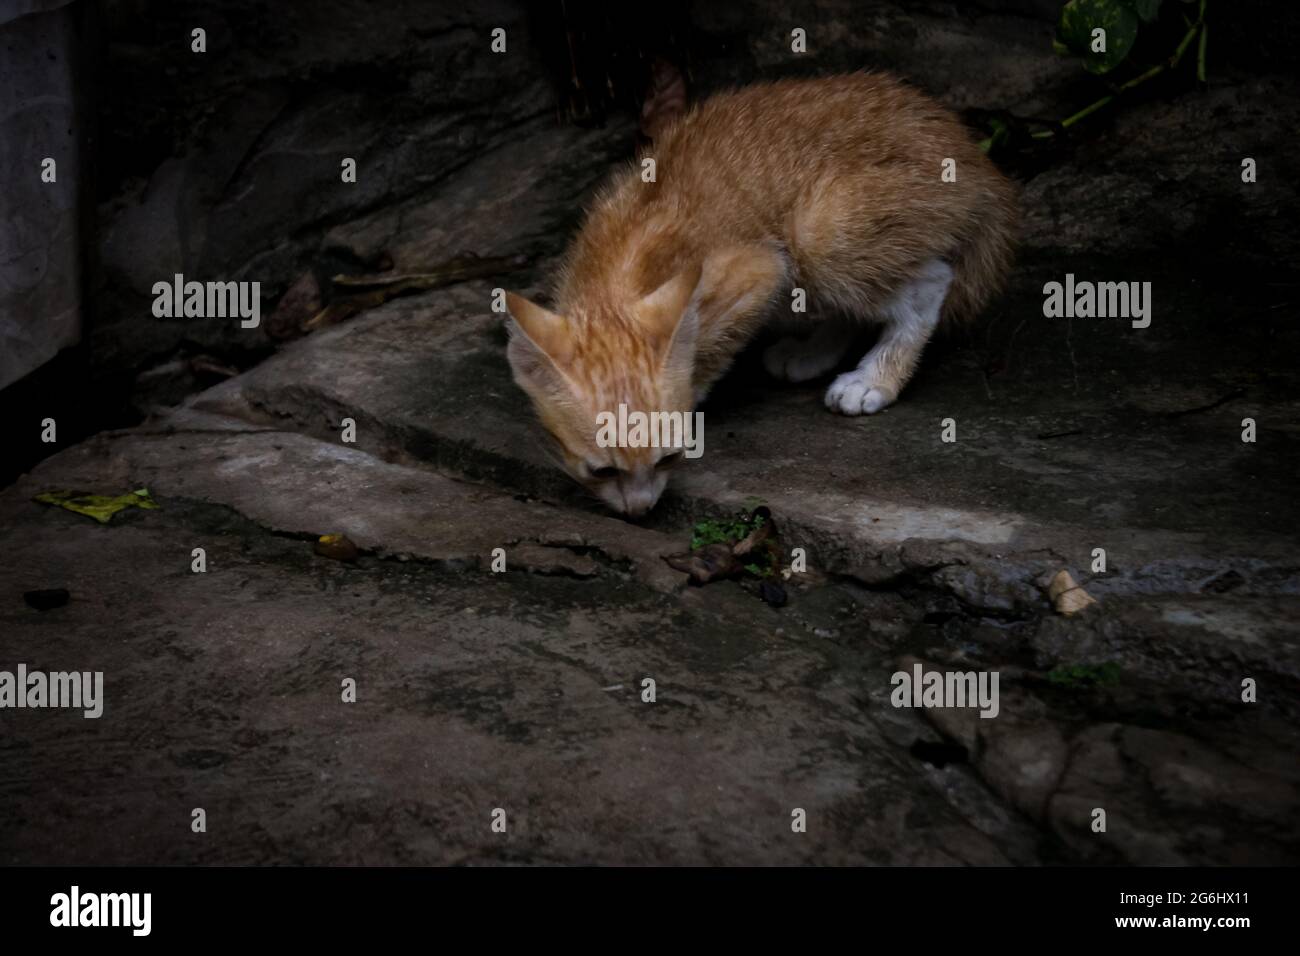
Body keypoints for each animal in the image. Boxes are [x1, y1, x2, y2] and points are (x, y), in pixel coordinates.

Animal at [504, 73, 1013, 515]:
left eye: (669, 459)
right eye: (601, 471)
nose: (642, 511)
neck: (616, 268)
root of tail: (974, 158)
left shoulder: (760, 269)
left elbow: (708, 349)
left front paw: (692, 392)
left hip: (816, 232)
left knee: (930, 282)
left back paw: (875, 379)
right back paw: (811, 353)